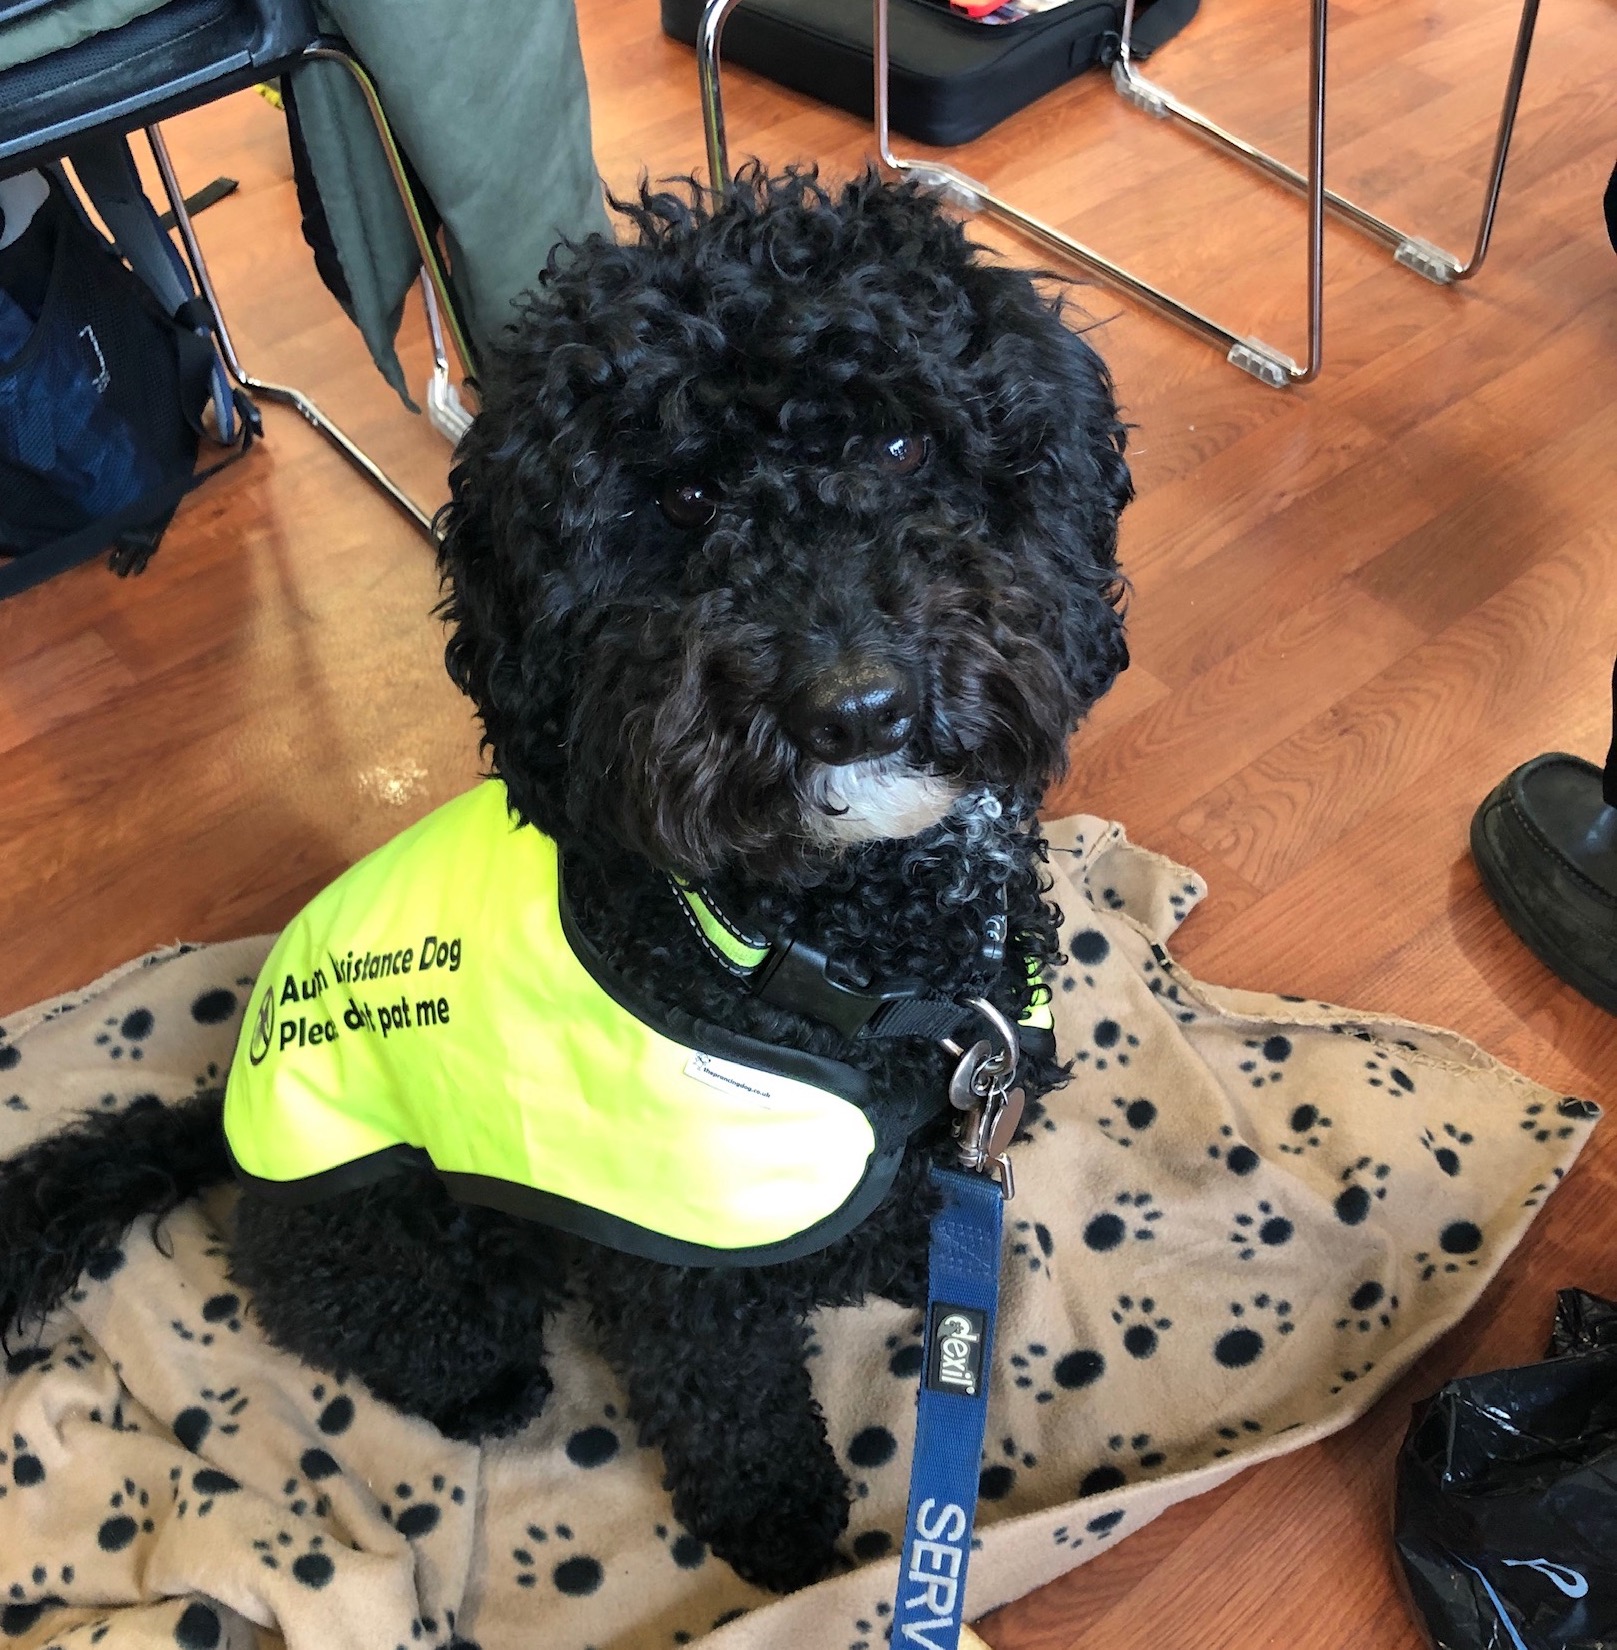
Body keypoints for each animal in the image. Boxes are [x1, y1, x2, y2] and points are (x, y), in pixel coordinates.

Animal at [0, 170, 1128, 1597]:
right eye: (686, 500)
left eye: (899, 447)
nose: (856, 702)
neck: (842, 948)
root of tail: (223, 1130)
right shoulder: (677, 1260)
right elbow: (728, 1393)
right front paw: (780, 1532)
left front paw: (889, 1255)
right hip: (406, 1238)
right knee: (380, 1323)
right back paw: (483, 1390)